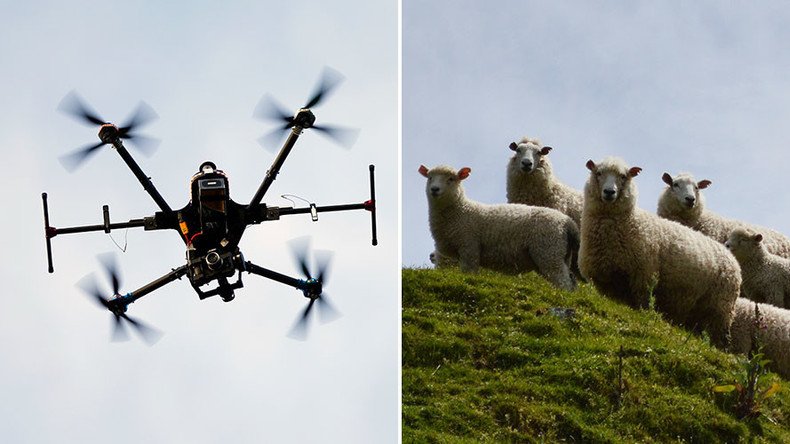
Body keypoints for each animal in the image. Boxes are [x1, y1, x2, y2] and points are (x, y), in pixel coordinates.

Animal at [420, 164, 580, 292]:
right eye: (429, 178)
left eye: (451, 179)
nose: (434, 189)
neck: (460, 211)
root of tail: (568, 223)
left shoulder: (469, 246)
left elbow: (469, 272)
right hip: (560, 254)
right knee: (570, 280)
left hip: (549, 250)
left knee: (563, 281)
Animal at [580, 158, 744, 348]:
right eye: (598, 173)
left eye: (623, 176)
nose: (609, 192)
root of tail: (733, 259)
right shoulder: (602, 281)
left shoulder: (643, 277)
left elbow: (643, 306)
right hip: (697, 308)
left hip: (721, 307)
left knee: (721, 338)